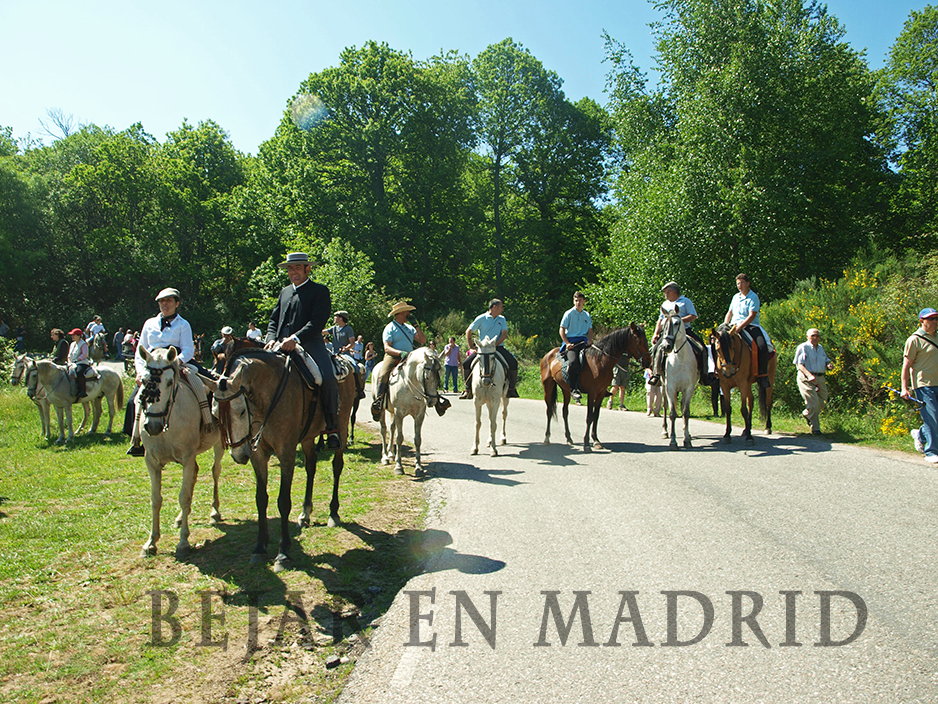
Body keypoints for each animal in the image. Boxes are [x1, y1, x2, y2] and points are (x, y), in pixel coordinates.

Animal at [135, 344, 225, 560]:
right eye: (144, 381)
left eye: (170, 382)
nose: (152, 426)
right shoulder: (151, 462)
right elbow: (156, 499)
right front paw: (151, 543)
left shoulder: (186, 458)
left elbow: (183, 496)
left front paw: (183, 542)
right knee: (195, 474)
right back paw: (180, 518)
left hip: (218, 445)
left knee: (215, 472)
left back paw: (214, 512)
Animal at [372, 348, 442, 476]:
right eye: (427, 377)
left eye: (439, 375)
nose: (433, 401)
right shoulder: (399, 414)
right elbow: (399, 438)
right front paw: (399, 467)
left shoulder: (419, 416)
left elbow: (417, 439)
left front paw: (418, 466)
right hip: (383, 410)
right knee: (384, 430)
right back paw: (385, 457)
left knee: (391, 428)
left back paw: (391, 454)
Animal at [536, 324, 648, 452]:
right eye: (639, 340)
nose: (648, 361)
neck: (599, 360)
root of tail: (549, 354)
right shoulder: (592, 392)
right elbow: (589, 417)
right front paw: (586, 444)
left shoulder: (601, 392)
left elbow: (596, 416)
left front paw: (596, 441)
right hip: (548, 386)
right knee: (549, 411)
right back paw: (547, 438)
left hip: (566, 389)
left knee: (565, 411)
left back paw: (569, 438)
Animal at [660, 310, 696, 452]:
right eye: (663, 324)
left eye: (676, 323)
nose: (666, 346)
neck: (680, 358)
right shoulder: (670, 388)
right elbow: (672, 414)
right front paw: (673, 442)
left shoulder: (689, 388)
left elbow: (686, 412)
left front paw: (687, 440)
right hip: (663, 386)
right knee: (665, 406)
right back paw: (665, 431)